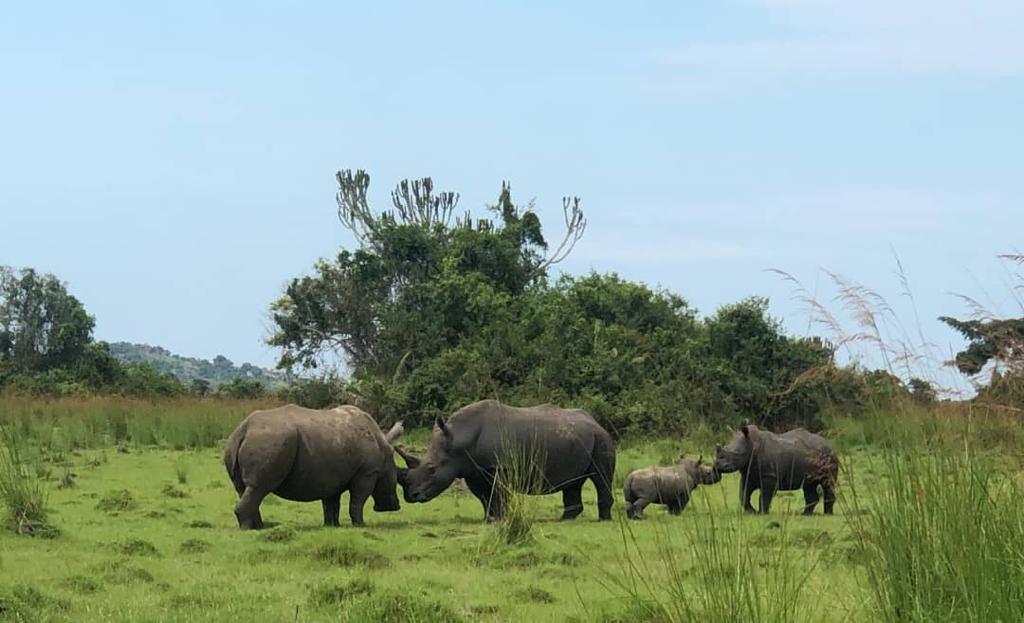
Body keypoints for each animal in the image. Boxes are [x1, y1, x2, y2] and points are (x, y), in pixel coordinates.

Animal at [223, 404, 404, 529]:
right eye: (396, 478)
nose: (392, 507)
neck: (384, 446)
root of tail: (244, 430)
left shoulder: (332, 477)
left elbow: (331, 503)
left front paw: (332, 526)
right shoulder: (367, 472)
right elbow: (358, 500)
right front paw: (360, 525)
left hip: (241, 443)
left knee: (245, 489)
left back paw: (260, 527)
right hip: (270, 441)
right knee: (259, 487)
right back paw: (250, 530)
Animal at [394, 400, 616, 521]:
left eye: (432, 469)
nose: (411, 496)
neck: (459, 440)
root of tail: (595, 421)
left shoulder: (500, 467)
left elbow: (499, 494)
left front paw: (501, 519)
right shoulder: (474, 471)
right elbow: (484, 497)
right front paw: (489, 519)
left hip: (601, 439)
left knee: (600, 478)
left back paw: (603, 520)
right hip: (578, 438)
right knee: (573, 481)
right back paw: (565, 519)